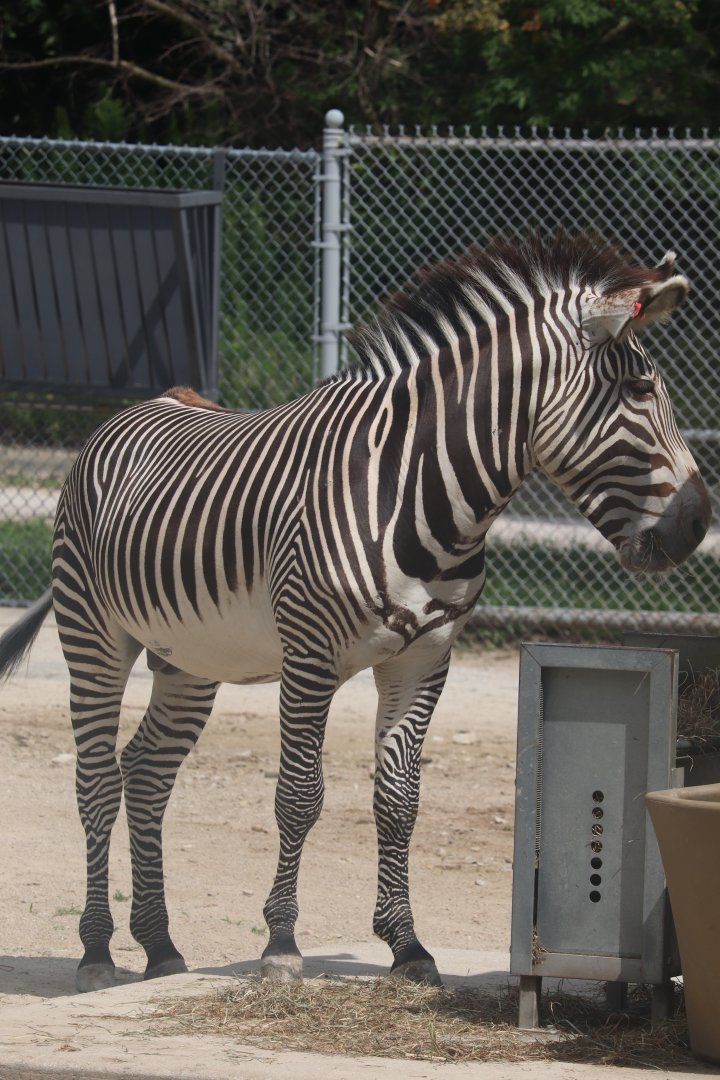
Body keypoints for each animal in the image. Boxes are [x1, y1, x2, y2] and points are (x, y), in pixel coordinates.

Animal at [0, 231, 711, 993]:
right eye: (639, 391)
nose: (699, 524)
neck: (419, 493)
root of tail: (148, 403)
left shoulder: (425, 658)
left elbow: (398, 800)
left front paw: (408, 946)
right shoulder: (309, 657)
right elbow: (300, 795)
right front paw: (282, 943)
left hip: (187, 660)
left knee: (146, 772)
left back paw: (159, 945)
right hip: (93, 634)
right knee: (97, 779)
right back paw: (97, 950)